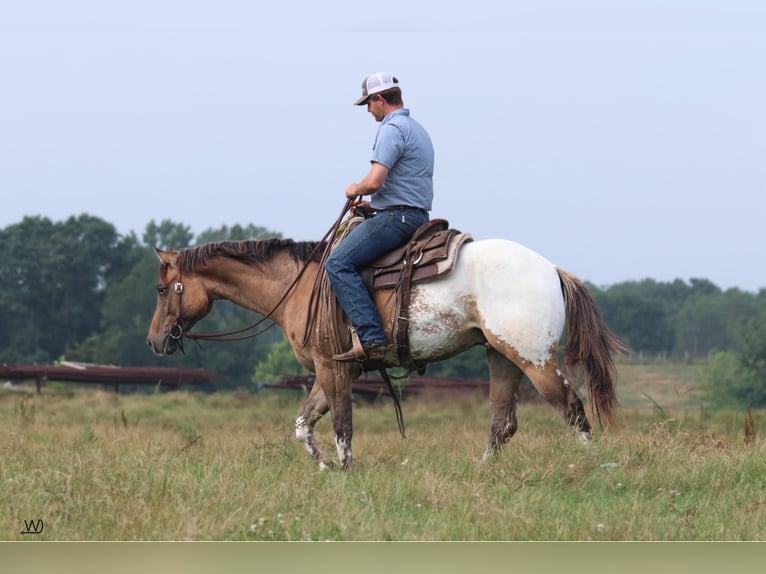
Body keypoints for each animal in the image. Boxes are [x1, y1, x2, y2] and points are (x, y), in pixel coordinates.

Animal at [147, 230, 628, 472]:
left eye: (160, 289)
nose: (154, 341)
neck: (299, 285)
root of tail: (552, 270)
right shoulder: (335, 370)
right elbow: (303, 425)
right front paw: (325, 466)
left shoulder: (331, 367)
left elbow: (341, 425)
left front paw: (345, 470)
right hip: (501, 357)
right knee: (502, 423)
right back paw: (482, 473)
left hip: (534, 359)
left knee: (572, 408)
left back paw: (593, 467)